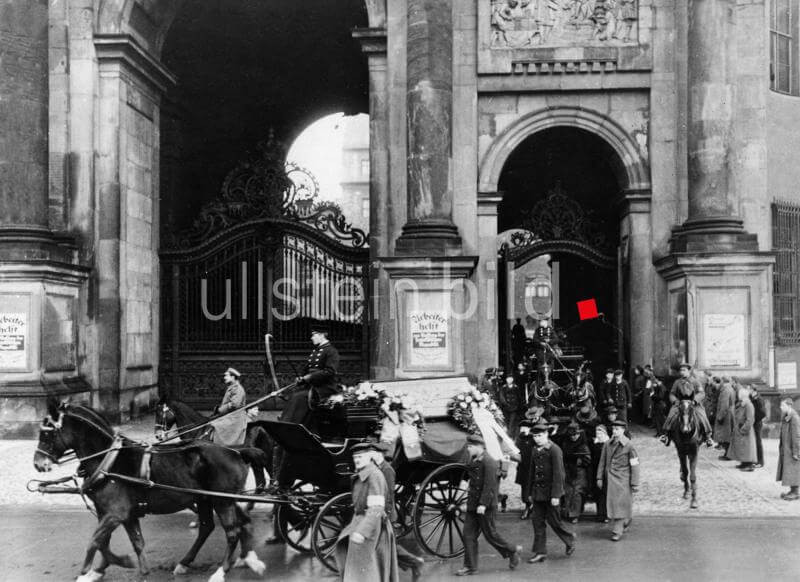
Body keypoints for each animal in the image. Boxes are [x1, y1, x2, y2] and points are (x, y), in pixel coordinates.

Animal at [33, 402, 266, 582]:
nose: (38, 463)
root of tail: (235, 450)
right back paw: (239, 559)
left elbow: (95, 541)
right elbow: (119, 542)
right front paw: (105, 569)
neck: (109, 461)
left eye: (47, 433)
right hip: (209, 499)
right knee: (221, 525)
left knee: (232, 532)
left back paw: (221, 570)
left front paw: (92, 570)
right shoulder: (118, 514)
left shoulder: (115, 514)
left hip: (222, 501)